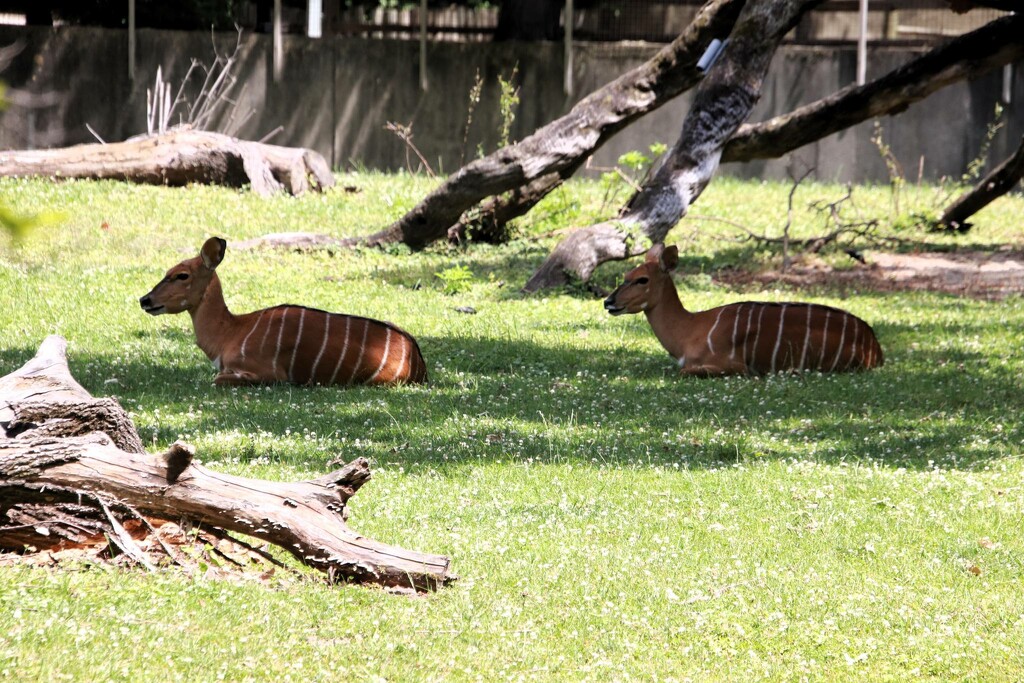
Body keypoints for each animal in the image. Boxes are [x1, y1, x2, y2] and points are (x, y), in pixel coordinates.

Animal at [138, 236, 425, 387]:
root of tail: (419, 362)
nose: (145, 300)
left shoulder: (268, 375)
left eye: (181, 275)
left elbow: (218, 378)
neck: (230, 332)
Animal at [602, 242, 884, 376]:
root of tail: (875, 346)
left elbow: (684, 371)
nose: (608, 302)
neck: (690, 330)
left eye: (642, 279)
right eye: (626, 275)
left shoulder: (733, 366)